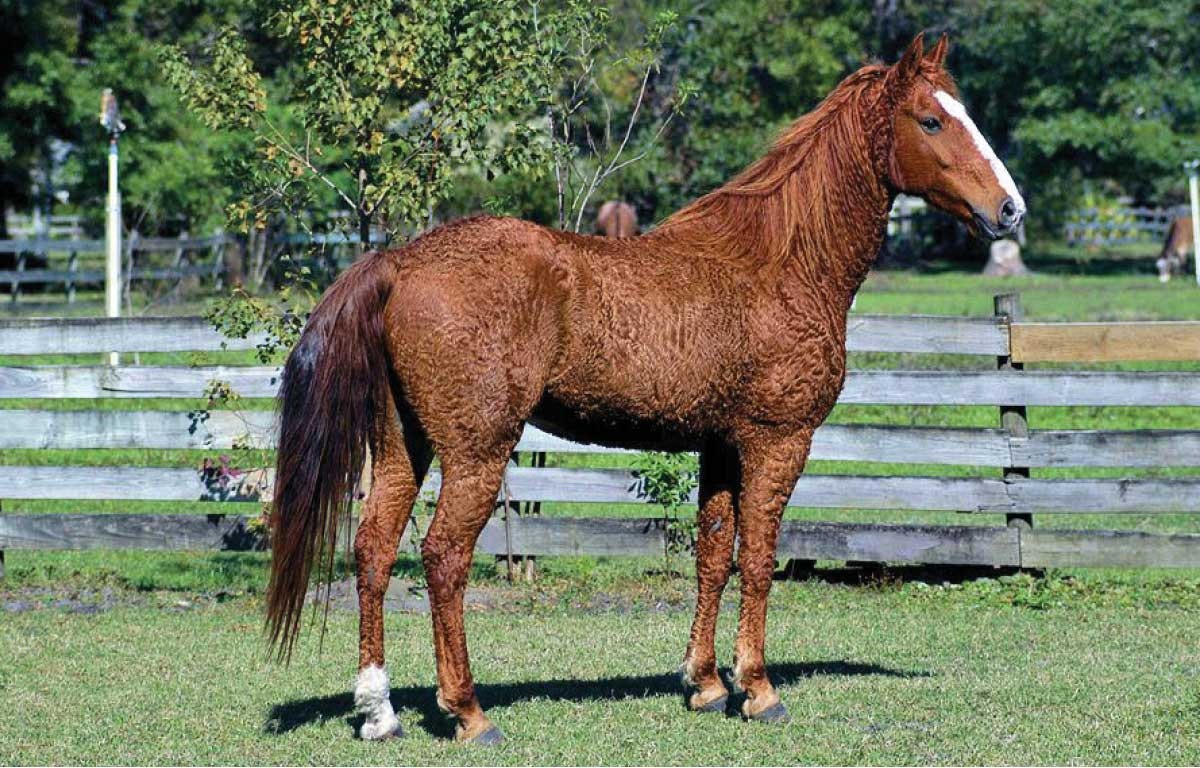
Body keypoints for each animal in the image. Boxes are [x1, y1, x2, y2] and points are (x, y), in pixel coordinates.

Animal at [266, 32, 1024, 745]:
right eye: (931, 119)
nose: (1010, 209)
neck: (779, 260)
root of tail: (400, 262)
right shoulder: (777, 442)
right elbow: (758, 559)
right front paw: (758, 689)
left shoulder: (721, 446)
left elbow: (712, 555)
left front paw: (706, 683)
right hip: (477, 451)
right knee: (443, 557)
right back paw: (469, 712)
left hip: (404, 446)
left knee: (373, 551)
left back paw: (379, 712)